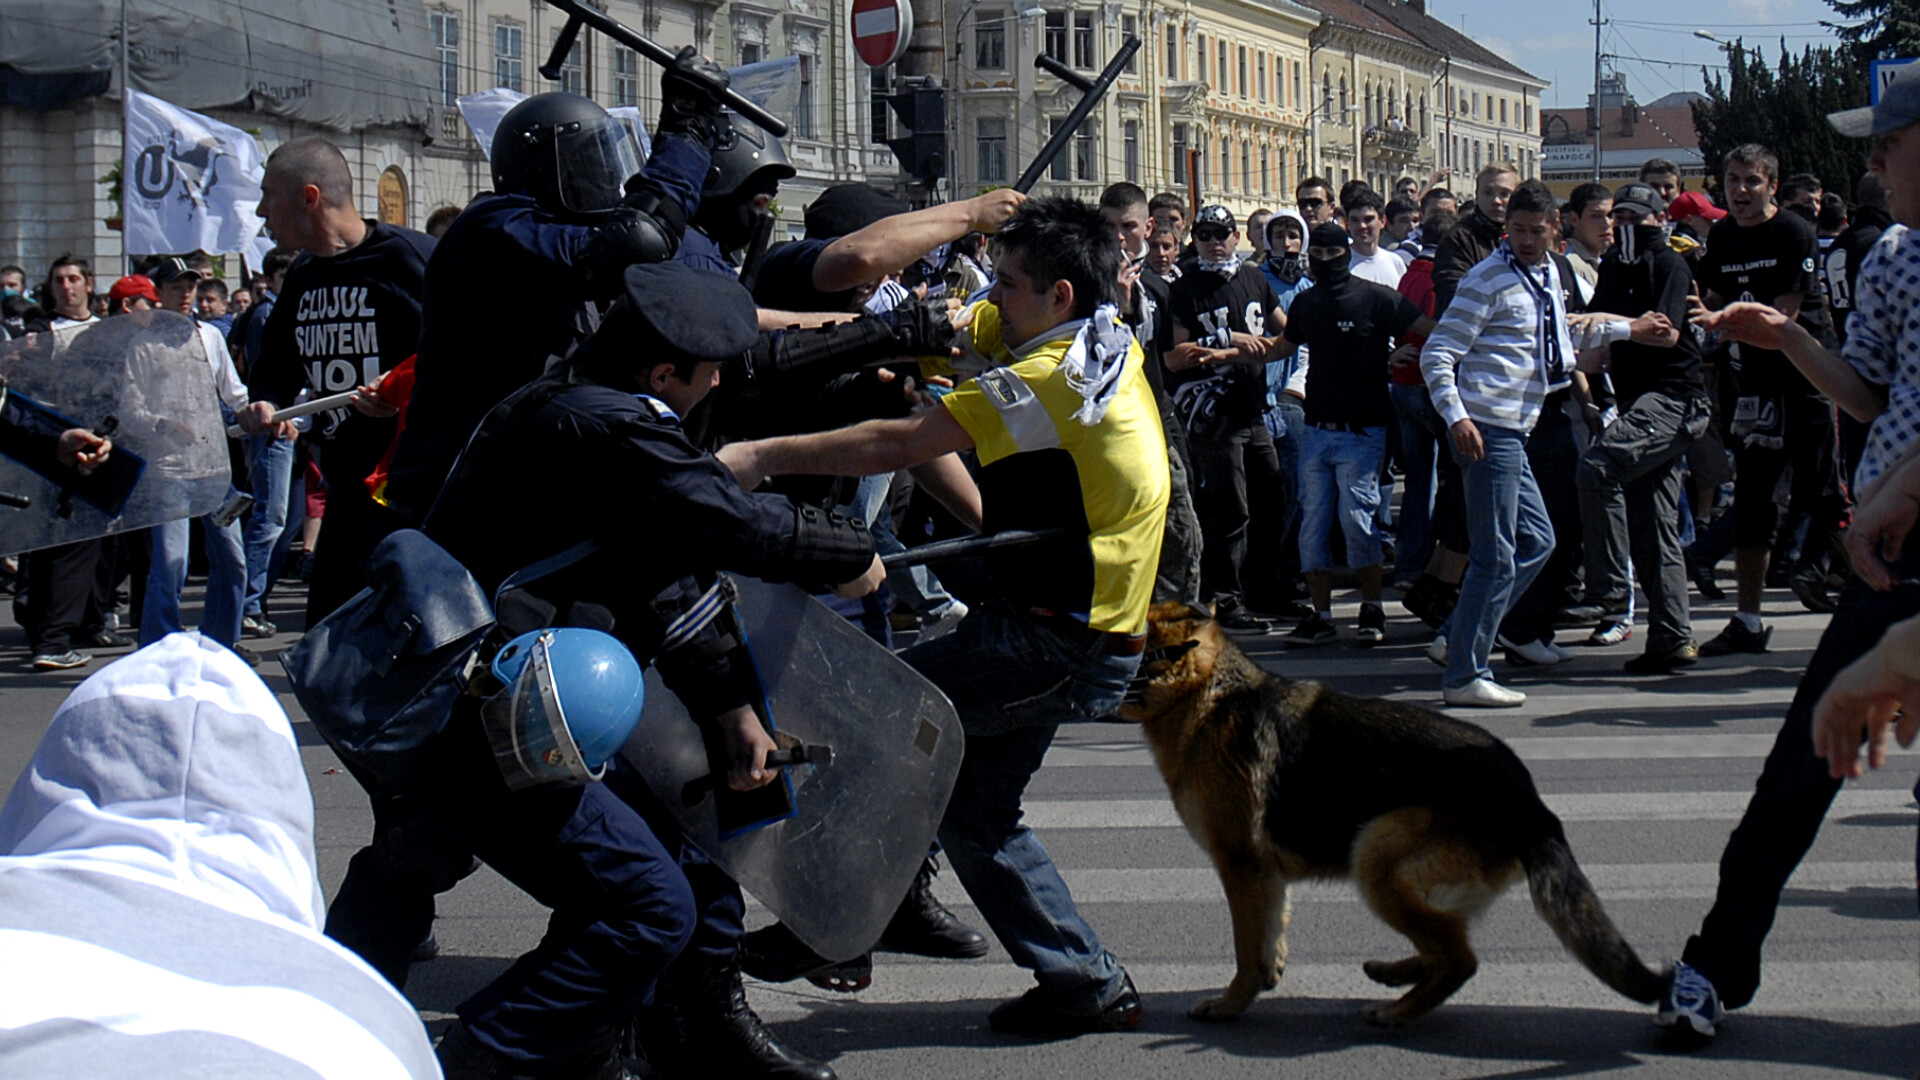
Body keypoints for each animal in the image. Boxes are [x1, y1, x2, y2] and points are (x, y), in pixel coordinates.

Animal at [1121, 599, 1666, 1022]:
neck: (1203, 693)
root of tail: (1533, 806)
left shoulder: (1240, 865)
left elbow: (1245, 946)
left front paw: (1232, 1003)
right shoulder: (1263, 874)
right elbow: (1270, 931)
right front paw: (1269, 973)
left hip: (1376, 854)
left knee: (1459, 958)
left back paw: (1397, 1010)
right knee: (1447, 945)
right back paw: (1394, 974)